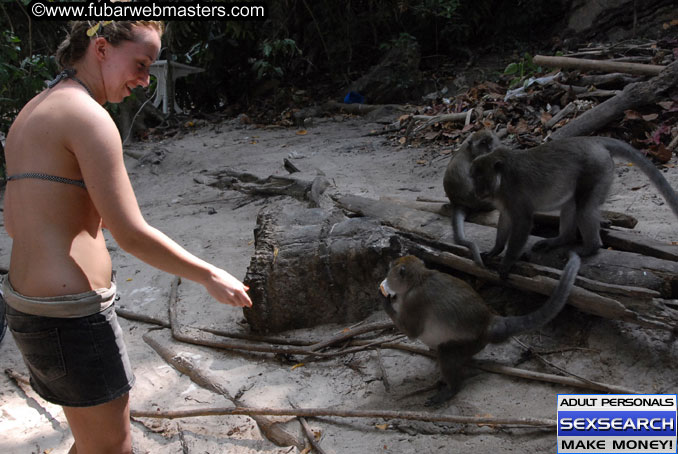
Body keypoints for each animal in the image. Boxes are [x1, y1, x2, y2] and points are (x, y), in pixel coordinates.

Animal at [380, 254, 580, 406]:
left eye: (391, 271)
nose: (386, 276)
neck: (420, 279)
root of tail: (488, 323)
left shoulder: (414, 300)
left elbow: (412, 332)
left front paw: (387, 302)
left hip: (472, 343)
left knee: (446, 351)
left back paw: (452, 388)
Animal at [444, 129, 508, 266]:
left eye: (489, 141)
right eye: (483, 143)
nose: (490, 148)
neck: (471, 151)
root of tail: (457, 202)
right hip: (480, 202)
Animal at [470, 137, 678, 278]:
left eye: (481, 178)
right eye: (474, 178)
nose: (477, 191)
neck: (501, 180)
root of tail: (593, 141)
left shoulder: (514, 193)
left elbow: (522, 222)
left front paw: (507, 263)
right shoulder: (505, 199)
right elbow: (506, 218)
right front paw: (496, 249)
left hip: (597, 170)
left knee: (583, 207)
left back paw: (590, 248)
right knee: (571, 203)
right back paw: (562, 239)